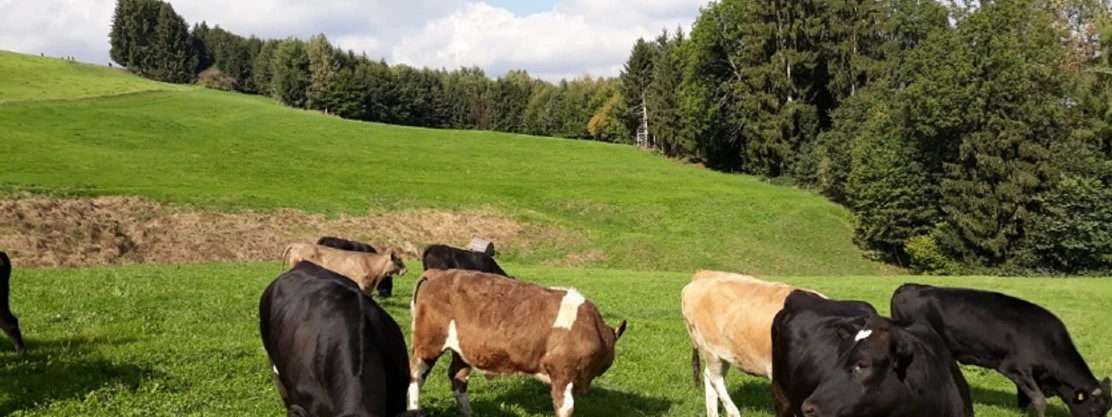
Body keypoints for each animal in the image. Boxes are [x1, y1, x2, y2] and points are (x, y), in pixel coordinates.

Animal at [406, 269, 627, 417]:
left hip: (461, 350)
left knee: (458, 379)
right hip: (428, 343)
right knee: (416, 376)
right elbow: (565, 408)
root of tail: (438, 273)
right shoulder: (562, 372)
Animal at [681, 270, 825, 417]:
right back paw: (733, 412)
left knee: (709, 376)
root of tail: (705, 273)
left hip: (725, 353)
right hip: (710, 350)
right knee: (714, 378)